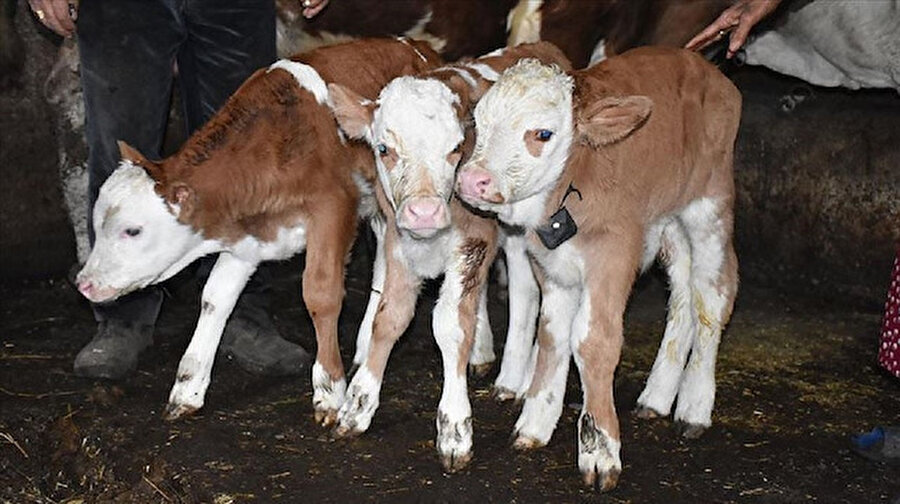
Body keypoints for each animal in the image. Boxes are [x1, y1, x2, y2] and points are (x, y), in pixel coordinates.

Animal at [74, 39, 442, 424]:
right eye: (97, 225)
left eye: (132, 231)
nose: (83, 284)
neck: (276, 142)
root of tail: (419, 47)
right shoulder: (248, 238)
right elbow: (214, 298)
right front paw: (188, 388)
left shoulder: (333, 207)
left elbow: (321, 294)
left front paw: (329, 391)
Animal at [326, 42, 572, 472]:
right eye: (384, 149)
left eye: (456, 148)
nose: (424, 212)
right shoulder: (398, 241)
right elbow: (390, 318)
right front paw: (358, 405)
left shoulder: (473, 240)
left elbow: (451, 325)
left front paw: (455, 428)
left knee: (529, 292)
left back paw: (518, 378)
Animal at [454, 47, 740, 488]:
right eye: (479, 122)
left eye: (543, 134)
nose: (472, 181)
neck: (573, 180)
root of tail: (706, 67)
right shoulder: (551, 265)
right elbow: (551, 336)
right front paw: (535, 423)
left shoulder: (615, 252)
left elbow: (593, 341)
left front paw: (600, 449)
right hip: (667, 221)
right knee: (682, 295)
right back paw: (658, 396)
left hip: (709, 205)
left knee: (712, 296)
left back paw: (694, 406)